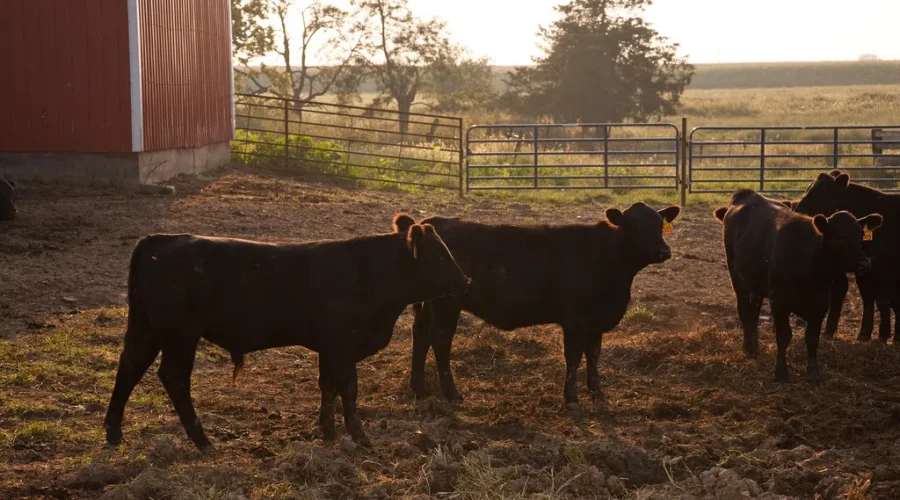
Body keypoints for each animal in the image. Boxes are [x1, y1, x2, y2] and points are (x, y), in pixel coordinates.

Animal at [103, 215, 469, 451]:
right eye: (440, 255)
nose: (466, 280)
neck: (366, 272)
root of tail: (160, 240)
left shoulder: (329, 349)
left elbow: (328, 388)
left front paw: (328, 432)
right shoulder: (342, 346)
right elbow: (348, 390)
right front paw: (360, 436)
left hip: (146, 329)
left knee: (129, 368)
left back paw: (114, 432)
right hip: (180, 335)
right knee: (173, 377)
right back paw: (203, 441)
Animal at [396, 202, 681, 409]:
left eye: (659, 225)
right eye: (636, 227)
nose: (664, 251)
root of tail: (430, 222)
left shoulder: (596, 320)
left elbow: (594, 354)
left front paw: (598, 393)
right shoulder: (575, 319)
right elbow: (573, 356)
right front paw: (571, 399)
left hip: (430, 304)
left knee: (421, 334)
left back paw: (418, 387)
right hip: (447, 304)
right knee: (440, 340)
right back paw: (452, 393)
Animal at [714, 189, 882, 385]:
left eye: (860, 236)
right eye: (840, 238)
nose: (864, 264)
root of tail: (747, 194)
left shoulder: (820, 304)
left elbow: (812, 338)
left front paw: (813, 373)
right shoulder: (779, 301)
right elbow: (784, 336)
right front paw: (781, 372)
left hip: (756, 282)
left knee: (754, 311)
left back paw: (754, 346)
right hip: (737, 276)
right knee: (744, 310)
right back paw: (748, 348)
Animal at [793, 170, 899, 342]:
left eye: (818, 194)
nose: (797, 213)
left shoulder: (878, 268)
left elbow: (883, 299)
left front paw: (881, 334)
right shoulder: (863, 268)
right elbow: (868, 296)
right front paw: (866, 333)